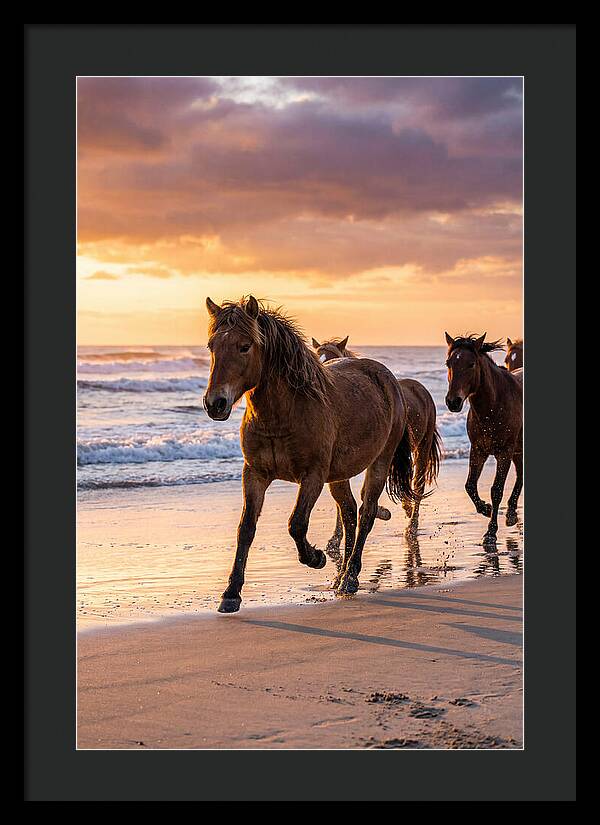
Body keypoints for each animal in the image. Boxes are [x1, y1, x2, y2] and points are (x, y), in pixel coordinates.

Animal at [203, 296, 415, 612]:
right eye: (211, 346)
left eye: (244, 346)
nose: (215, 403)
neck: (284, 413)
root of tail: (389, 379)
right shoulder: (254, 474)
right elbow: (246, 529)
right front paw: (231, 593)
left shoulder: (312, 476)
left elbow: (296, 524)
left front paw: (316, 558)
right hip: (338, 476)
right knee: (349, 513)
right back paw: (340, 577)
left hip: (379, 463)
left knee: (365, 513)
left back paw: (350, 576)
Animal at [312, 336, 442, 537]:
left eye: (333, 358)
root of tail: (420, 389)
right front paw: (336, 537)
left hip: (422, 448)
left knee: (417, 485)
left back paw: (411, 524)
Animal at [444, 332, 523, 545]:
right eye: (448, 363)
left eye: (471, 364)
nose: (453, 402)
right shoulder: (478, 450)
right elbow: (470, 485)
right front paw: (485, 509)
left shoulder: (504, 452)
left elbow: (496, 490)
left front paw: (491, 532)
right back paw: (511, 513)